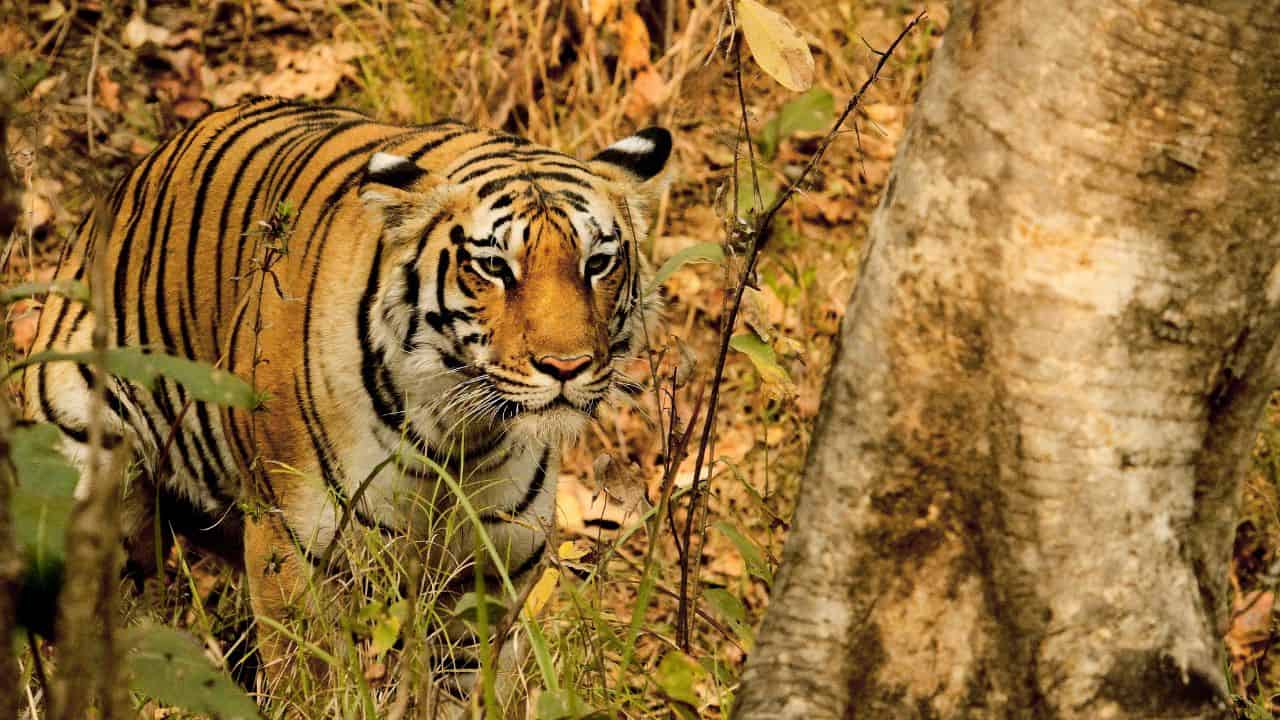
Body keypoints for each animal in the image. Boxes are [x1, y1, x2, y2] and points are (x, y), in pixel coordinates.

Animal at [22, 96, 671, 706]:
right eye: (493, 266)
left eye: (598, 262)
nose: (567, 367)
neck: (459, 437)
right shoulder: (290, 545)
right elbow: (306, 678)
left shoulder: (492, 571)